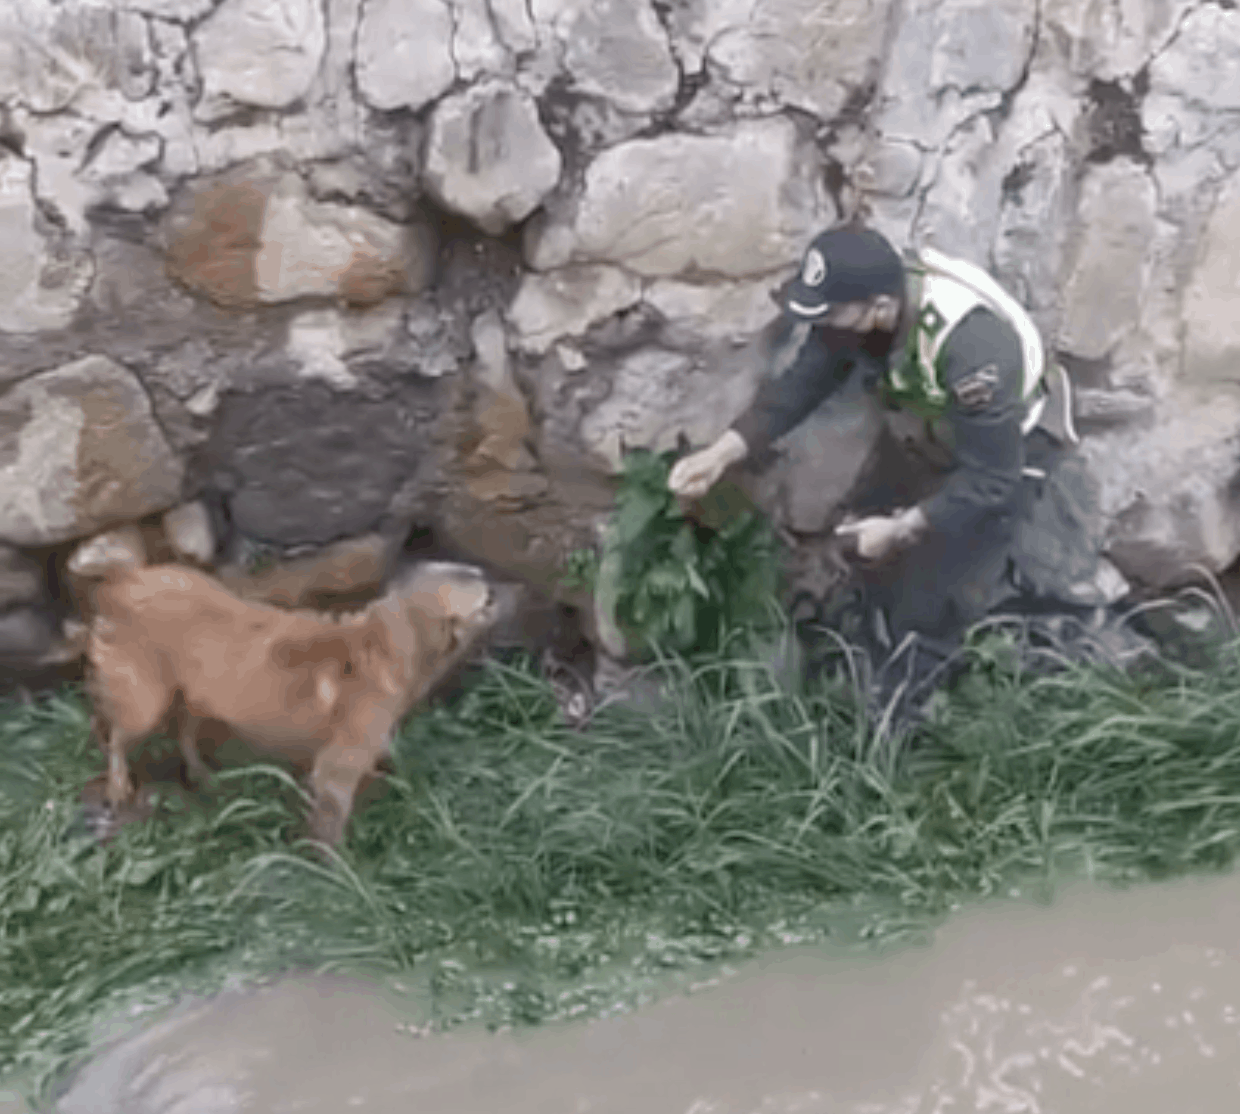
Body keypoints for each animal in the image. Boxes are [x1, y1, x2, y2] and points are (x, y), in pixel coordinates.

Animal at [83, 560, 503, 838]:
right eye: (482, 594)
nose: (493, 576)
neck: (384, 646)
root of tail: (124, 581)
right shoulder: (337, 767)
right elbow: (330, 831)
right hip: (145, 703)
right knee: (115, 736)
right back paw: (118, 785)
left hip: (193, 695)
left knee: (182, 732)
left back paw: (203, 775)